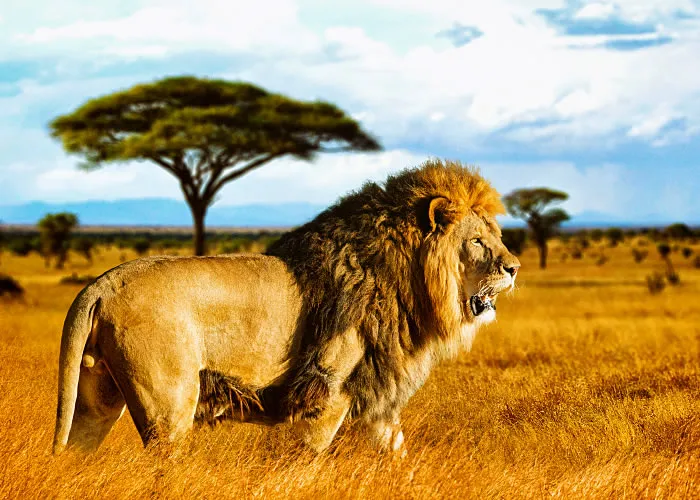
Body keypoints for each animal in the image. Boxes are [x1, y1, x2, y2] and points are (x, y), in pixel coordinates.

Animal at [53, 158, 520, 456]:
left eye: (497, 236)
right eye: (477, 242)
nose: (514, 267)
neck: (412, 285)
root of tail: (102, 283)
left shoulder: (377, 402)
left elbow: (399, 459)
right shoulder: (326, 393)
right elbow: (302, 463)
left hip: (95, 399)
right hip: (169, 407)